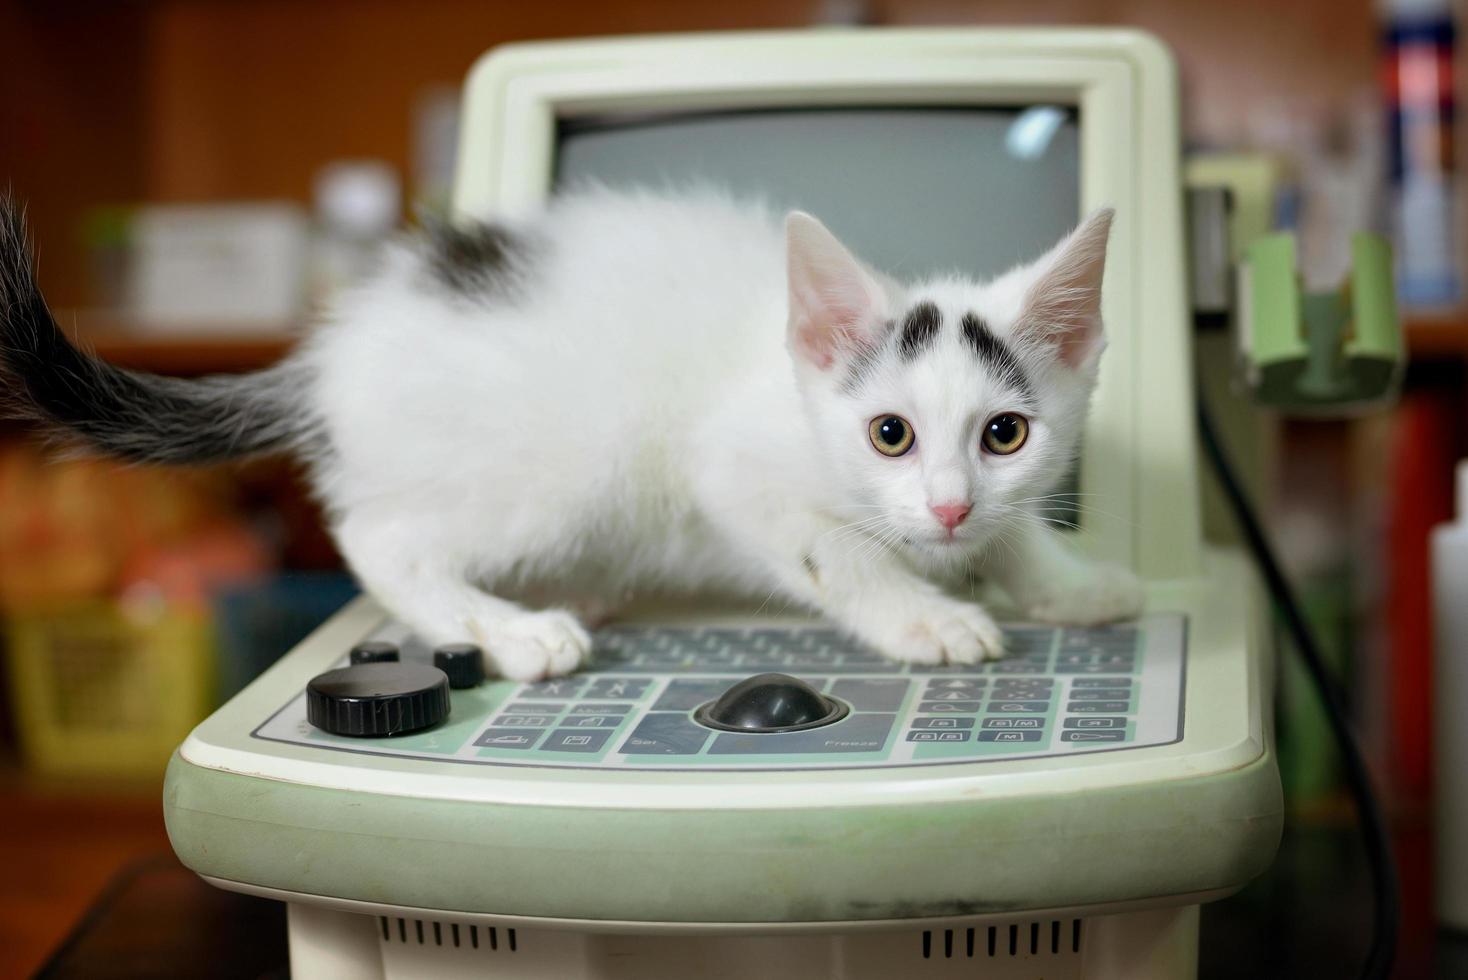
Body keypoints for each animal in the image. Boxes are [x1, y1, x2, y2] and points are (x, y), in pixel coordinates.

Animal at [0, 190, 1145, 680]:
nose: (946, 506)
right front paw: (923, 617)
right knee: (380, 537)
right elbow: (838, 552)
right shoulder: (733, 469)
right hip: (564, 466)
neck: (787, 382)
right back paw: (514, 629)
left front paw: (1066, 581)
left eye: (1005, 434)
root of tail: (331, 355)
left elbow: (1014, 532)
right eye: (889, 433)